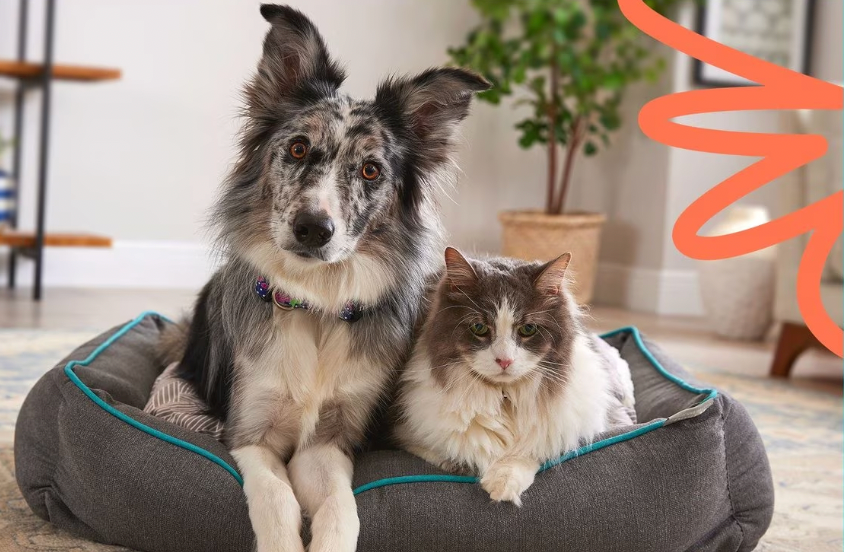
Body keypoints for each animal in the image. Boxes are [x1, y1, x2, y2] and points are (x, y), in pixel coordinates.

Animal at [160, 5, 488, 552]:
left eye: (372, 170)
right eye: (297, 148)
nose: (313, 228)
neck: (314, 303)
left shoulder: (329, 442)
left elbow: (340, 508)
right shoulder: (250, 433)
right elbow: (277, 501)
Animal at [396, 248, 632, 506]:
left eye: (528, 329)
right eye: (479, 328)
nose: (504, 361)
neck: (505, 397)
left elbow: (527, 452)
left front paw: (503, 484)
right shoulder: (405, 432)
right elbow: (447, 450)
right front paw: (464, 466)